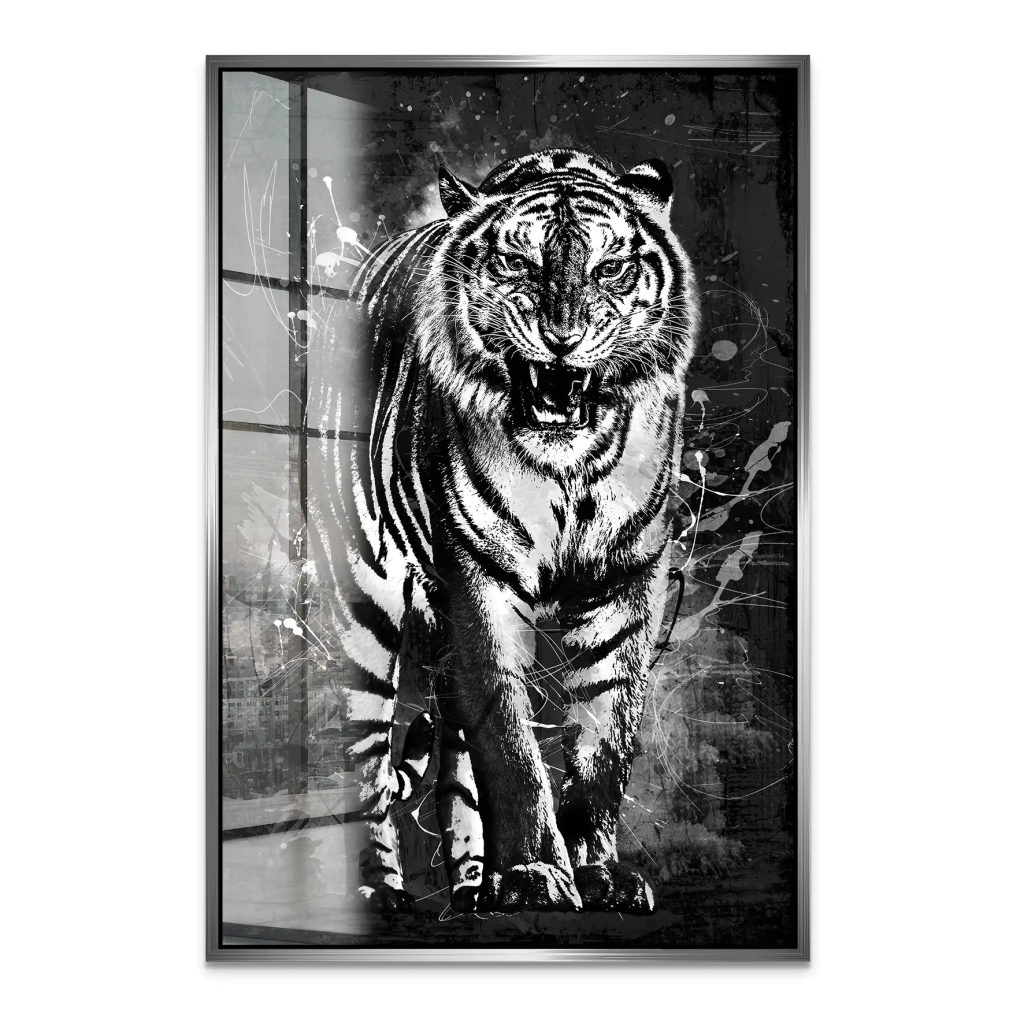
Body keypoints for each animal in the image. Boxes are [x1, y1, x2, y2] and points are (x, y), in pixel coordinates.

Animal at [309, 148, 699, 916]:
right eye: (519, 263)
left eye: (610, 268)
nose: (563, 339)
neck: (569, 467)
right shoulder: (478, 582)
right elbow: (510, 744)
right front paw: (533, 874)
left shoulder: (624, 585)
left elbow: (605, 738)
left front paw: (597, 873)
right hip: (365, 607)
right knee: (365, 760)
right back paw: (381, 890)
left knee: (454, 767)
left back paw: (470, 887)